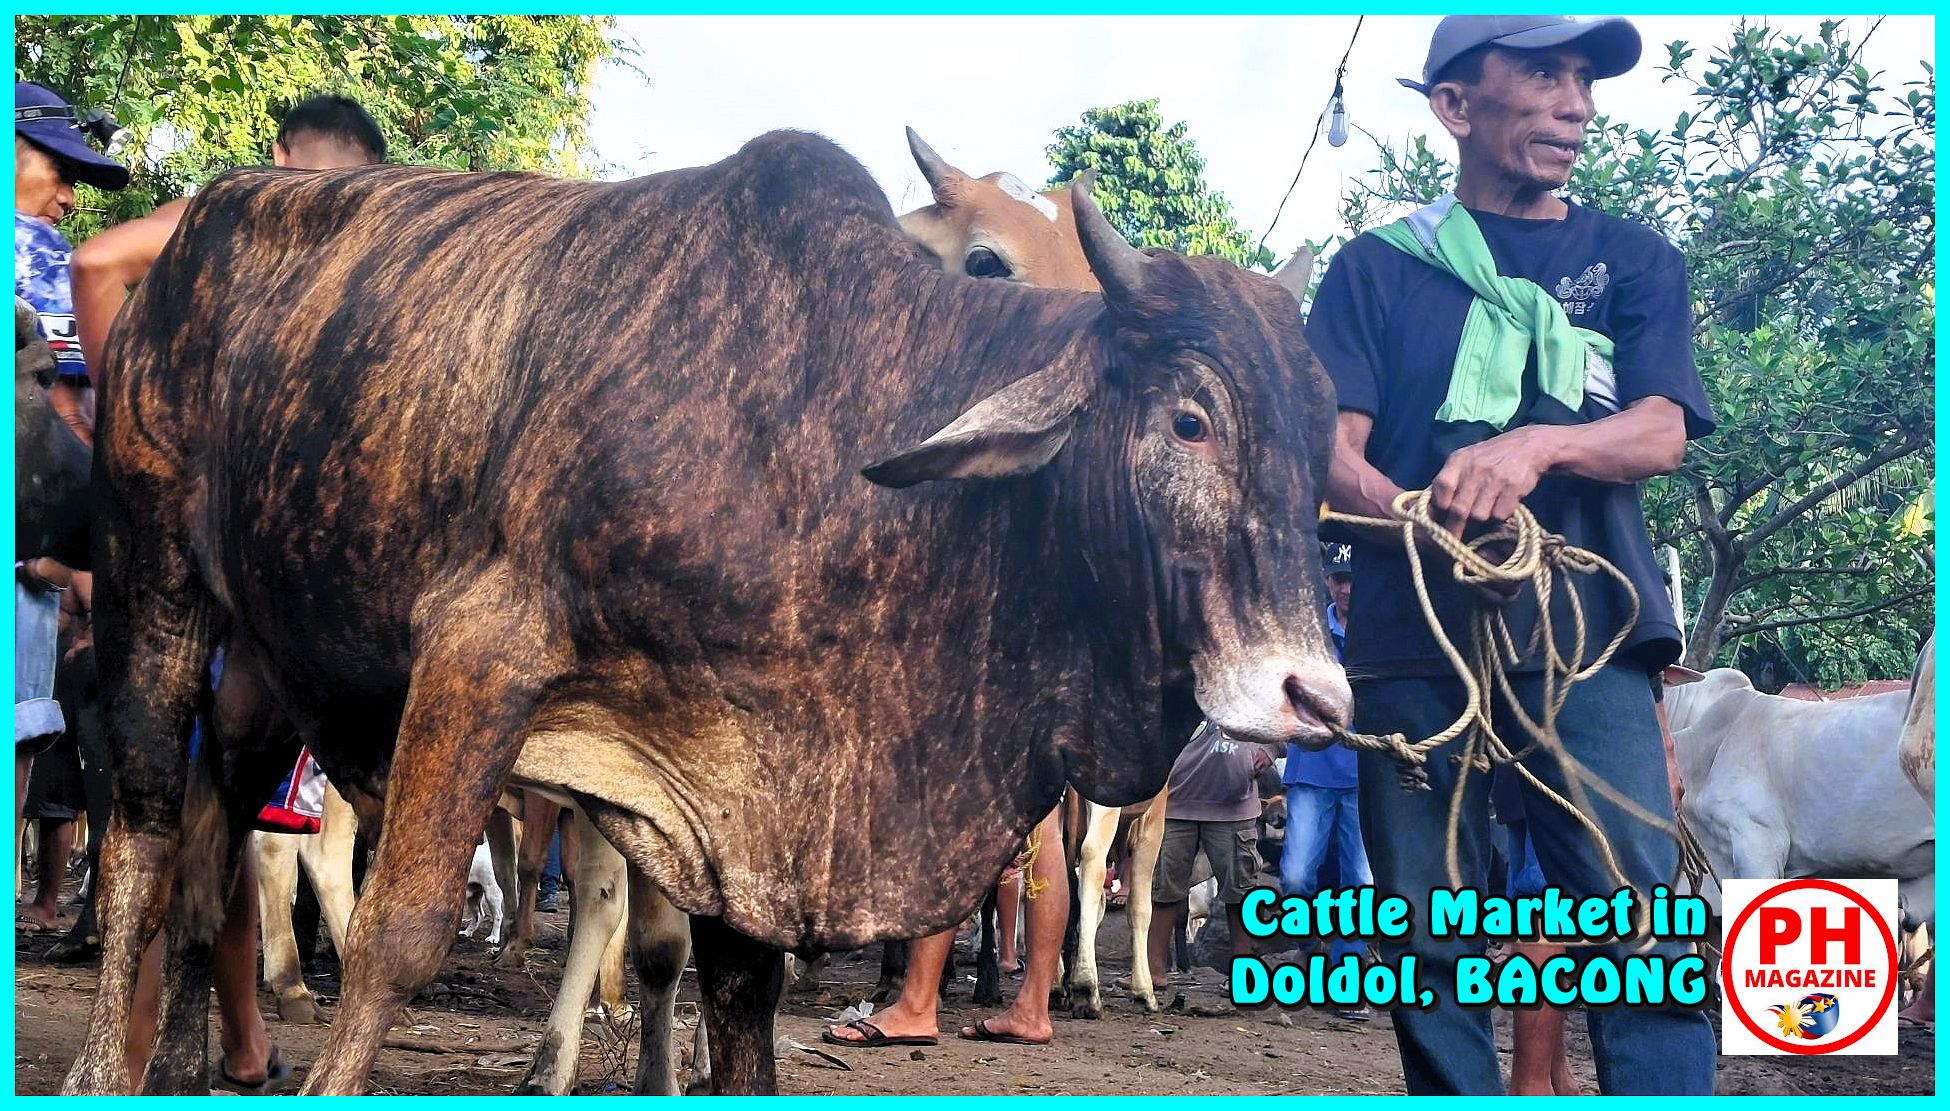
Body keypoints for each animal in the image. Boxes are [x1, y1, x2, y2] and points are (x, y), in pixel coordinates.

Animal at [60, 131, 1341, 1091]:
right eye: (1189, 419)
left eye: (1320, 439)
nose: (1313, 692)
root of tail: (208, 214)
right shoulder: (480, 655)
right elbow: (398, 935)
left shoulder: (746, 786)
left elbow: (734, 986)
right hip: (152, 584)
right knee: (144, 833)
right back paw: (102, 1067)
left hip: (265, 666)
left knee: (212, 859)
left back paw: (184, 1063)